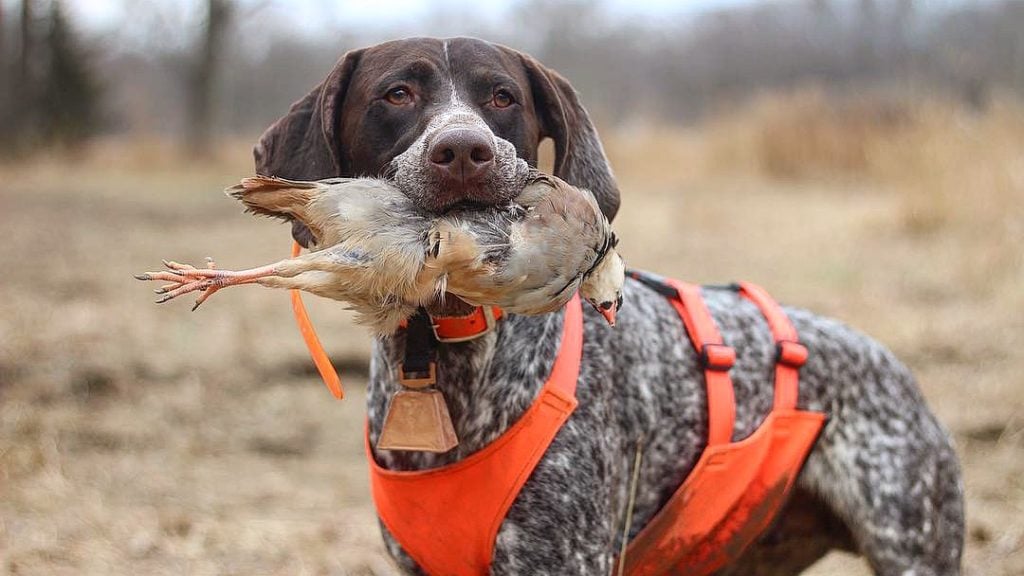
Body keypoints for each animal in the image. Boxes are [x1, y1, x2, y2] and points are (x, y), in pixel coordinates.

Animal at [251, 38, 962, 569]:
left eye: (502, 96)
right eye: (397, 93)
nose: (463, 152)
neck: (444, 357)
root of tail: (900, 373)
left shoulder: (564, 557)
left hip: (912, 543)